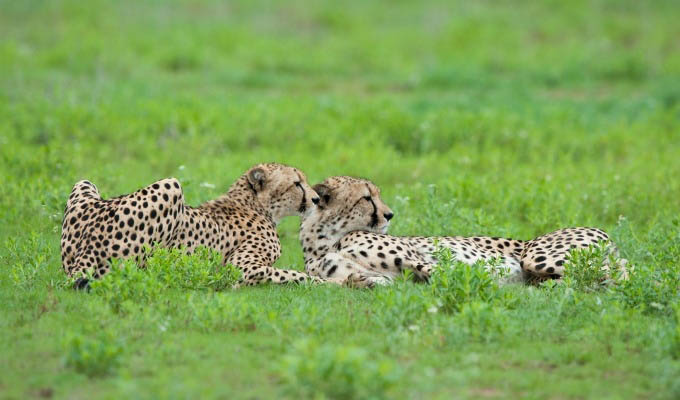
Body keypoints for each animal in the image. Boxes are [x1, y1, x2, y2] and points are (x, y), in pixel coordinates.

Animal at [62, 162, 356, 288]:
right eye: (297, 183)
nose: (316, 199)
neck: (254, 204)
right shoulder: (242, 267)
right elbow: (298, 275)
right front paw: (345, 281)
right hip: (172, 185)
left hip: (84, 182)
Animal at [300, 176, 628, 284]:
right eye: (367, 197)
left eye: (375, 195)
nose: (390, 215)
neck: (327, 242)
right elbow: (359, 280)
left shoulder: (420, 258)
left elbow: (445, 270)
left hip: (536, 256)